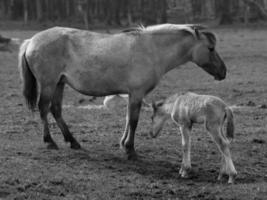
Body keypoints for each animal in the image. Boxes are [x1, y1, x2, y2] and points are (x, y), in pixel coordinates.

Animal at [18, 24, 227, 159]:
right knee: (44, 108)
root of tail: (32, 40)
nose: (223, 71)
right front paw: (130, 149)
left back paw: (73, 141)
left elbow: (128, 119)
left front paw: (123, 144)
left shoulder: (131, 95)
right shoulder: (137, 93)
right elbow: (133, 121)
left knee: (56, 110)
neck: (151, 50)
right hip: (48, 84)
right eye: (211, 48)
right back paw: (49, 141)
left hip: (59, 84)